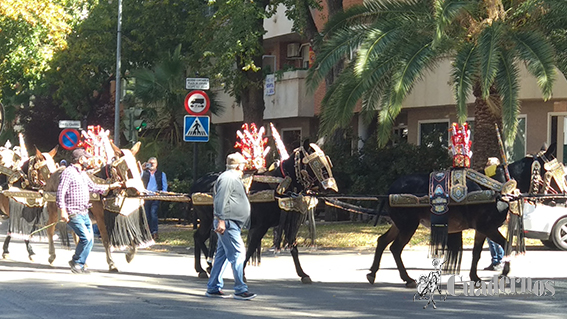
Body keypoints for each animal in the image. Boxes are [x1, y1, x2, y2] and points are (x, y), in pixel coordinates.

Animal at [193, 142, 340, 284]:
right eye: (316, 163)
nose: (331, 187)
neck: (279, 186)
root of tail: (198, 182)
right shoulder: (261, 225)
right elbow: (251, 247)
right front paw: (242, 273)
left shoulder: (287, 223)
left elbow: (293, 247)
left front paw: (303, 274)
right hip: (208, 220)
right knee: (199, 237)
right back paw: (206, 267)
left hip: (209, 222)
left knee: (198, 237)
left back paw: (204, 268)